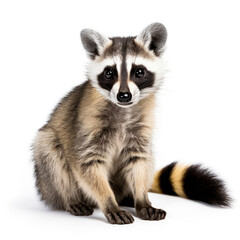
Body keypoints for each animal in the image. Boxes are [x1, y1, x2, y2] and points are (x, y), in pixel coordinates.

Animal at [32, 23, 231, 224]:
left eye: (139, 72)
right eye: (109, 72)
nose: (124, 95)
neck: (123, 109)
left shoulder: (141, 127)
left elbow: (139, 160)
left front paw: (142, 199)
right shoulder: (87, 126)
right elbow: (88, 163)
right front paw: (109, 202)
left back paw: (128, 197)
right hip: (47, 174)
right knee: (49, 149)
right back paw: (71, 199)